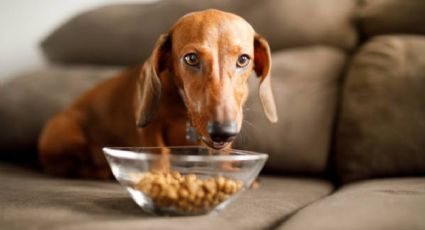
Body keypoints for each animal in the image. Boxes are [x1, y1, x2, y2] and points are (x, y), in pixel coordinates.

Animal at [36, 9, 276, 179]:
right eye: (191, 58)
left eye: (243, 59)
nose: (223, 132)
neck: (183, 111)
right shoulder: (151, 129)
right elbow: (160, 153)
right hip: (66, 131)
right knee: (69, 167)